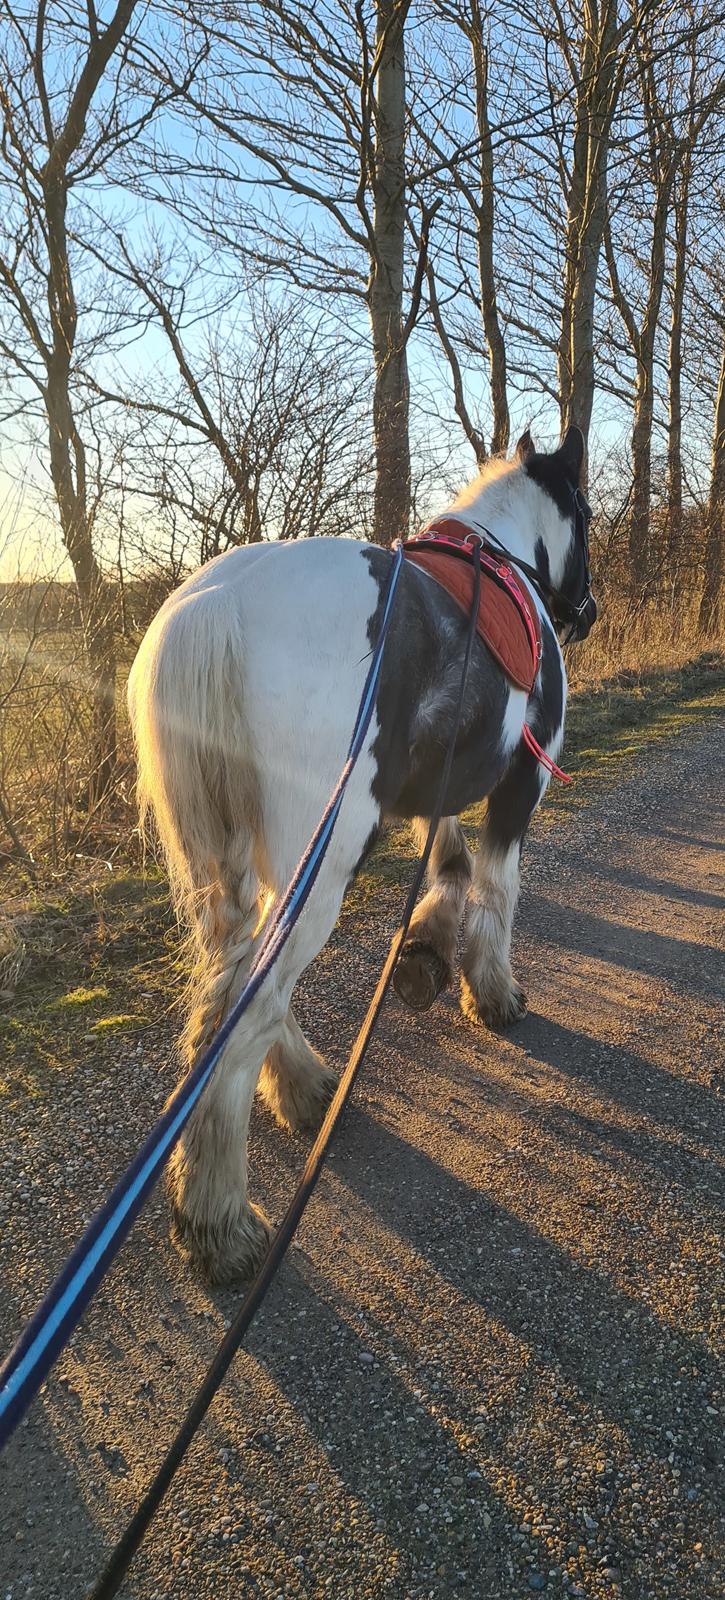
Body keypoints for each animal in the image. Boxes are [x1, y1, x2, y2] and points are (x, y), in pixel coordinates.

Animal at [128, 419, 592, 1280]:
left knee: (231, 988)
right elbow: (496, 888)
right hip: (318, 867)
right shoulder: (517, 787)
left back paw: (303, 1092)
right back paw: (220, 1220)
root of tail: (217, 604)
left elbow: (447, 867)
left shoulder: (428, 792)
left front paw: (427, 953)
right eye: (584, 510)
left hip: (233, 870)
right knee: (244, 1010)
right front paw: (492, 992)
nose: (585, 607)